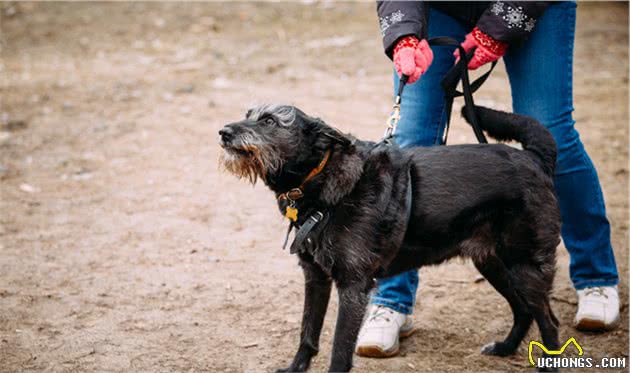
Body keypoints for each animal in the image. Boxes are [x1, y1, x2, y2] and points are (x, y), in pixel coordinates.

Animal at [218, 104, 564, 372]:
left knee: (549, 321)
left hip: (525, 267)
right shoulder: (315, 276)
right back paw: (504, 348)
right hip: (494, 264)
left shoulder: (354, 287)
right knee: (523, 311)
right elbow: (308, 333)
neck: (323, 181)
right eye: (248, 114)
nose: (223, 131)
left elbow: (339, 349)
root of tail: (533, 158)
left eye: (269, 121)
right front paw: (294, 368)